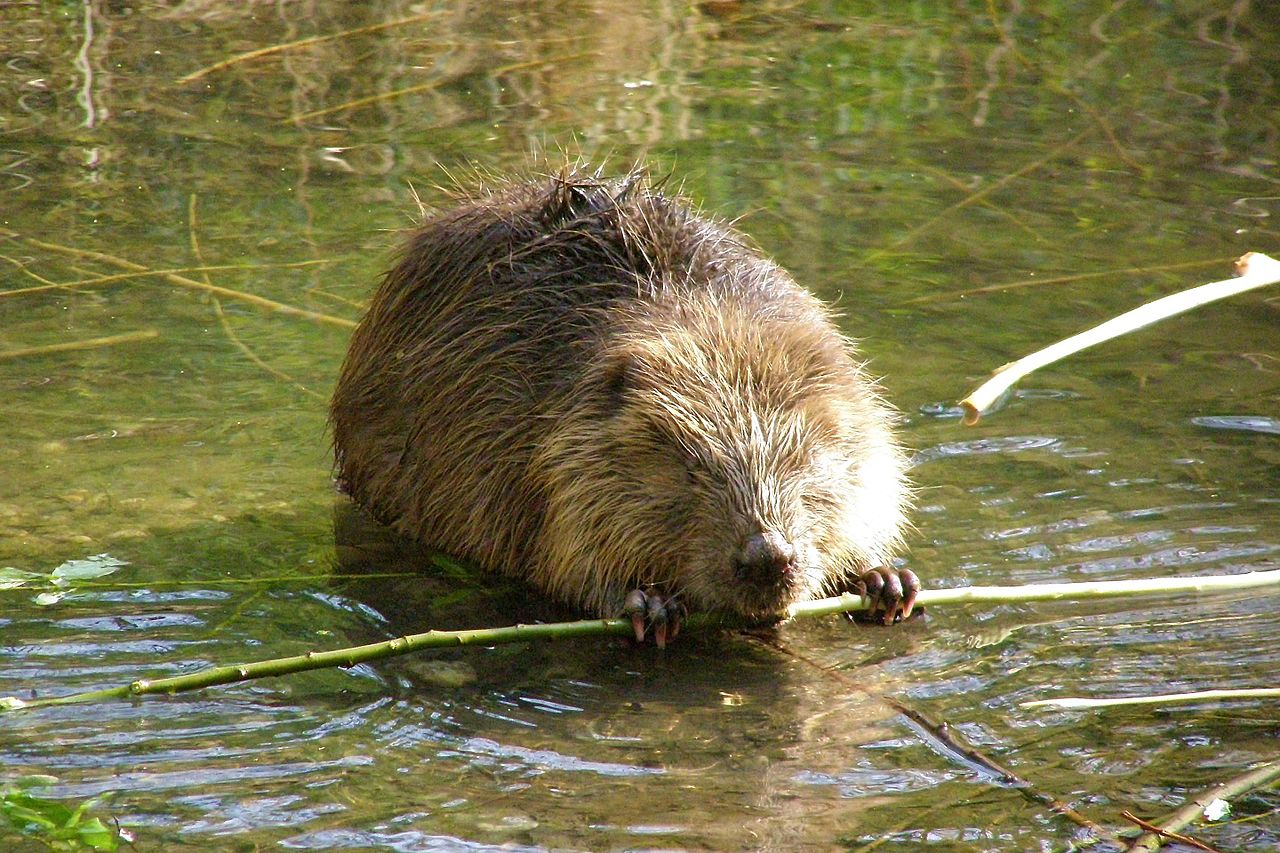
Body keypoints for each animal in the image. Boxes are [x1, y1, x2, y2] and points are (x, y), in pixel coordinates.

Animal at [330, 163, 911, 645]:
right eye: (692, 469)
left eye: (804, 462)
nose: (767, 556)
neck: (705, 319)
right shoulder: (526, 444)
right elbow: (564, 553)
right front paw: (649, 604)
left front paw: (886, 579)